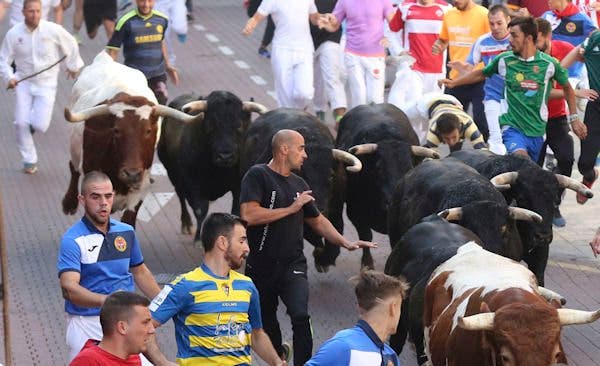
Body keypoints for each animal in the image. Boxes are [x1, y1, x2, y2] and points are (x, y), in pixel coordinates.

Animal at [62, 53, 200, 226]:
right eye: (116, 130)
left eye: (148, 131)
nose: (132, 174)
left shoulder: (140, 190)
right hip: (74, 149)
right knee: (73, 168)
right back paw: (69, 203)